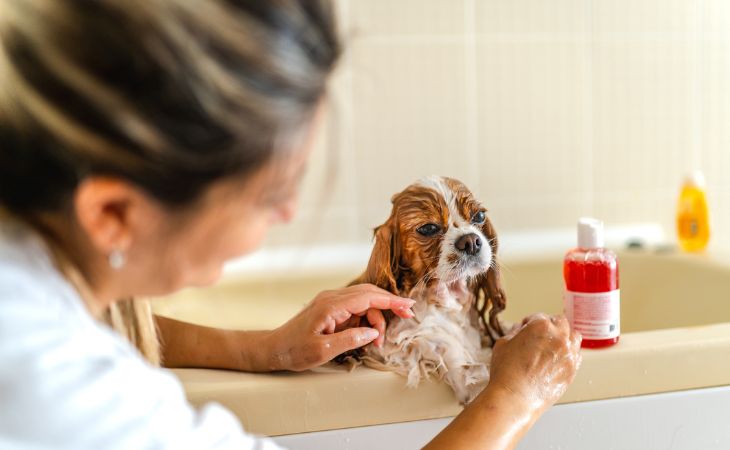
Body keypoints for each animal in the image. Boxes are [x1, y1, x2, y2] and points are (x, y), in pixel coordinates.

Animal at [346, 175, 506, 404]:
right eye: (428, 228)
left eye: (479, 216)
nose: (471, 241)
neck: (443, 301)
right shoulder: (388, 345)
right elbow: (434, 338)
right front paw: (469, 377)